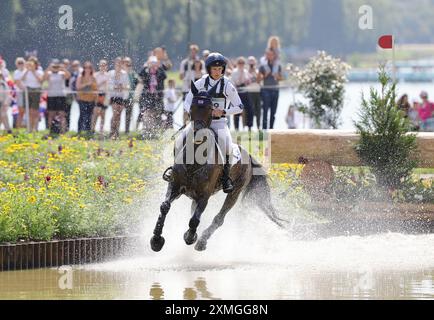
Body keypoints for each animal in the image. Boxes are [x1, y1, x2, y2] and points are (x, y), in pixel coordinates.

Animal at [151, 82, 286, 252]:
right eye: (192, 107)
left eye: (210, 108)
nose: (198, 132)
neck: (194, 160)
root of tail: (248, 156)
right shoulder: (175, 186)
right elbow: (165, 207)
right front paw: (156, 240)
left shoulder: (205, 195)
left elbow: (194, 220)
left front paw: (190, 237)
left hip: (235, 192)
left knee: (219, 218)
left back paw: (201, 241)